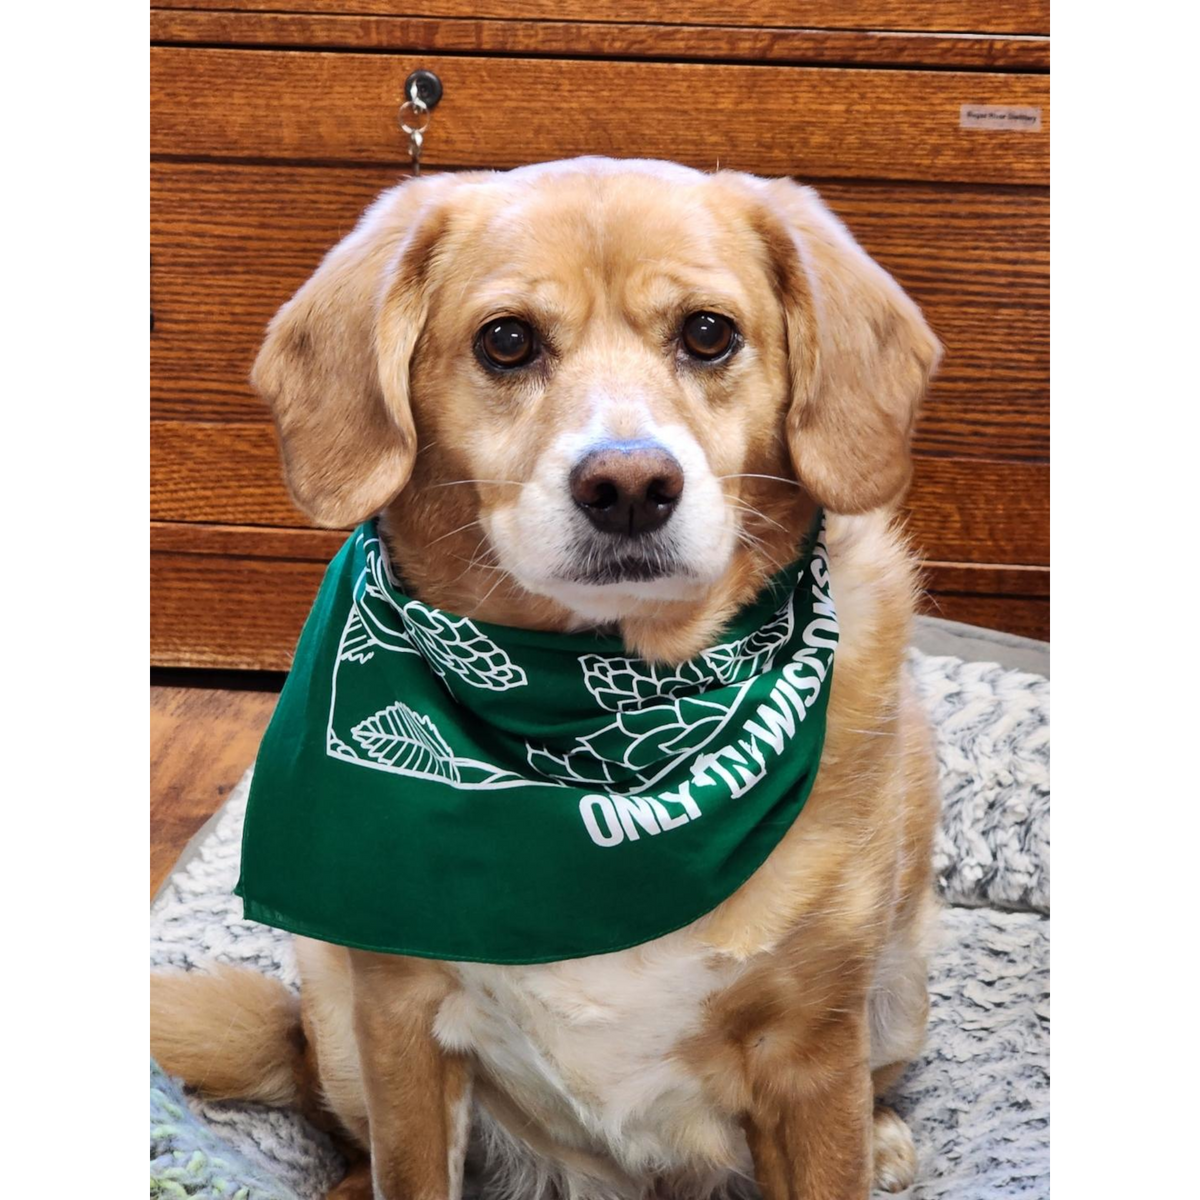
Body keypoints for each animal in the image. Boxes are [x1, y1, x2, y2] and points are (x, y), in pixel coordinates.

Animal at [145, 159, 940, 1200]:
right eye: (508, 341)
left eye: (709, 332)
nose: (630, 486)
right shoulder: (402, 1026)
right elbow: (408, 1170)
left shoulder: (812, 1053)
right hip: (333, 1004)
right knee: (347, 1135)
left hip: (897, 994)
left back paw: (884, 1138)